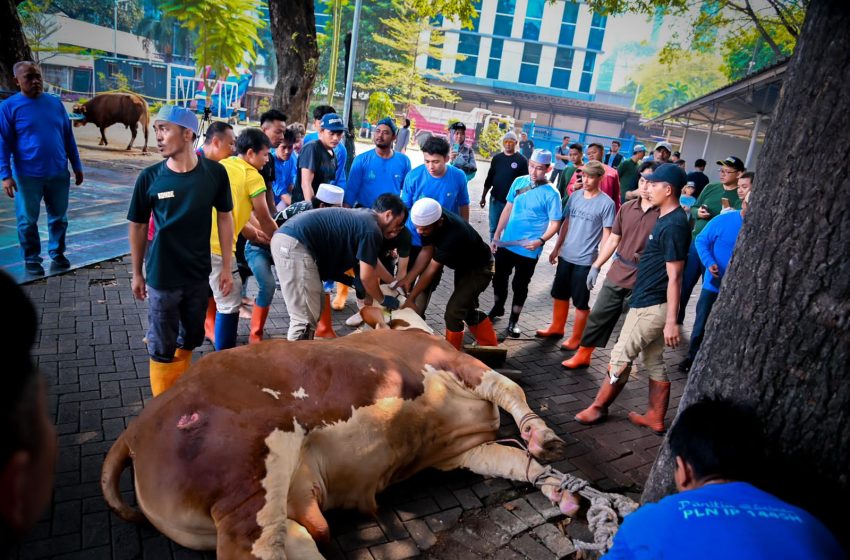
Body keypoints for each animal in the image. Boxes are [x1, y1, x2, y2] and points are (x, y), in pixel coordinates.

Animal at [101, 330, 576, 556]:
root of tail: (134, 431)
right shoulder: (454, 363)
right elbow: (510, 389)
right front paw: (543, 436)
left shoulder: (462, 452)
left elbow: (512, 461)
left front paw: (557, 487)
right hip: (246, 478)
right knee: (257, 548)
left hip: (261, 508)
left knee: (295, 537)